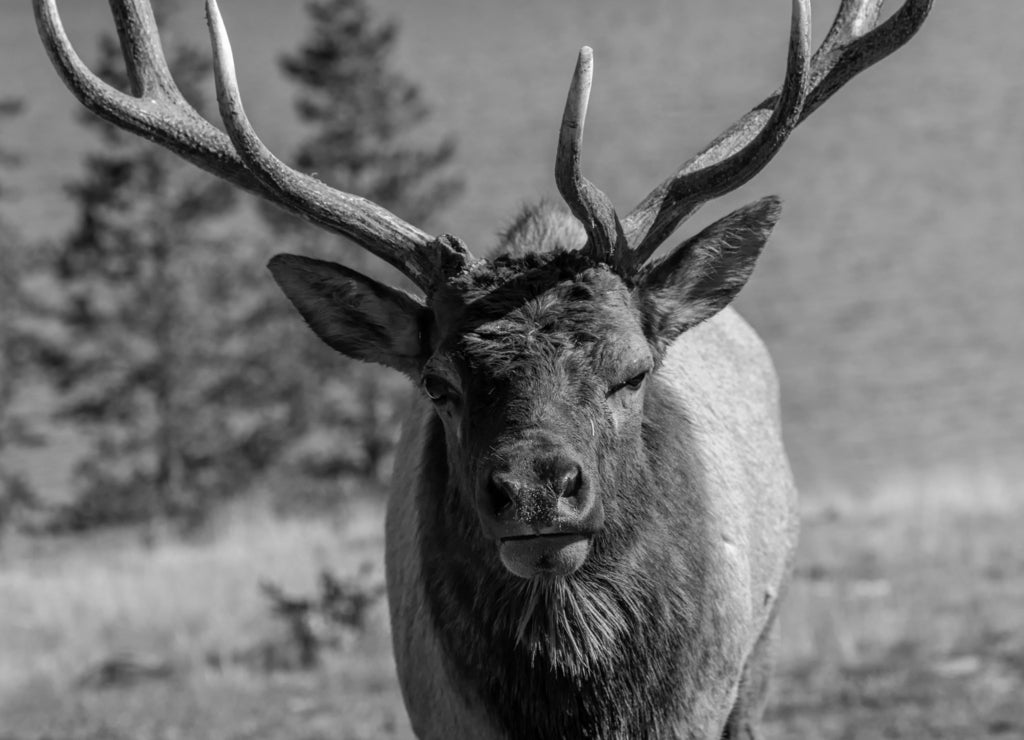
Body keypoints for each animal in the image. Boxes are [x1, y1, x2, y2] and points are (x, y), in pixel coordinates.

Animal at [37, 1, 937, 736]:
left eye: (633, 372)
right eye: (439, 385)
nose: (537, 489)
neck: (582, 713)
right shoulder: (439, 712)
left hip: (763, 651)